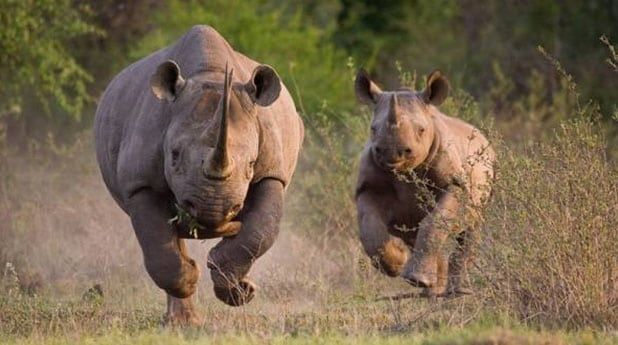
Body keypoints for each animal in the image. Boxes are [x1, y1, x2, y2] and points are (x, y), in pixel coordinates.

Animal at [92, 25, 302, 324]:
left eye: (251, 164)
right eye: (174, 155)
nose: (213, 210)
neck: (210, 74)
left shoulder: (273, 171)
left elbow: (262, 230)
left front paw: (239, 288)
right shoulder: (139, 182)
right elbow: (159, 248)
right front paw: (191, 279)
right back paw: (183, 321)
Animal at [354, 68, 494, 294]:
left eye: (421, 130)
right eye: (373, 129)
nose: (391, 152)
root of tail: (483, 138)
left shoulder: (455, 183)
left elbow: (435, 221)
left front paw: (416, 279)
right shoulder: (368, 187)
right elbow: (370, 227)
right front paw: (397, 264)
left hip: (488, 170)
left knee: (472, 225)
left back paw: (457, 292)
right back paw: (433, 289)